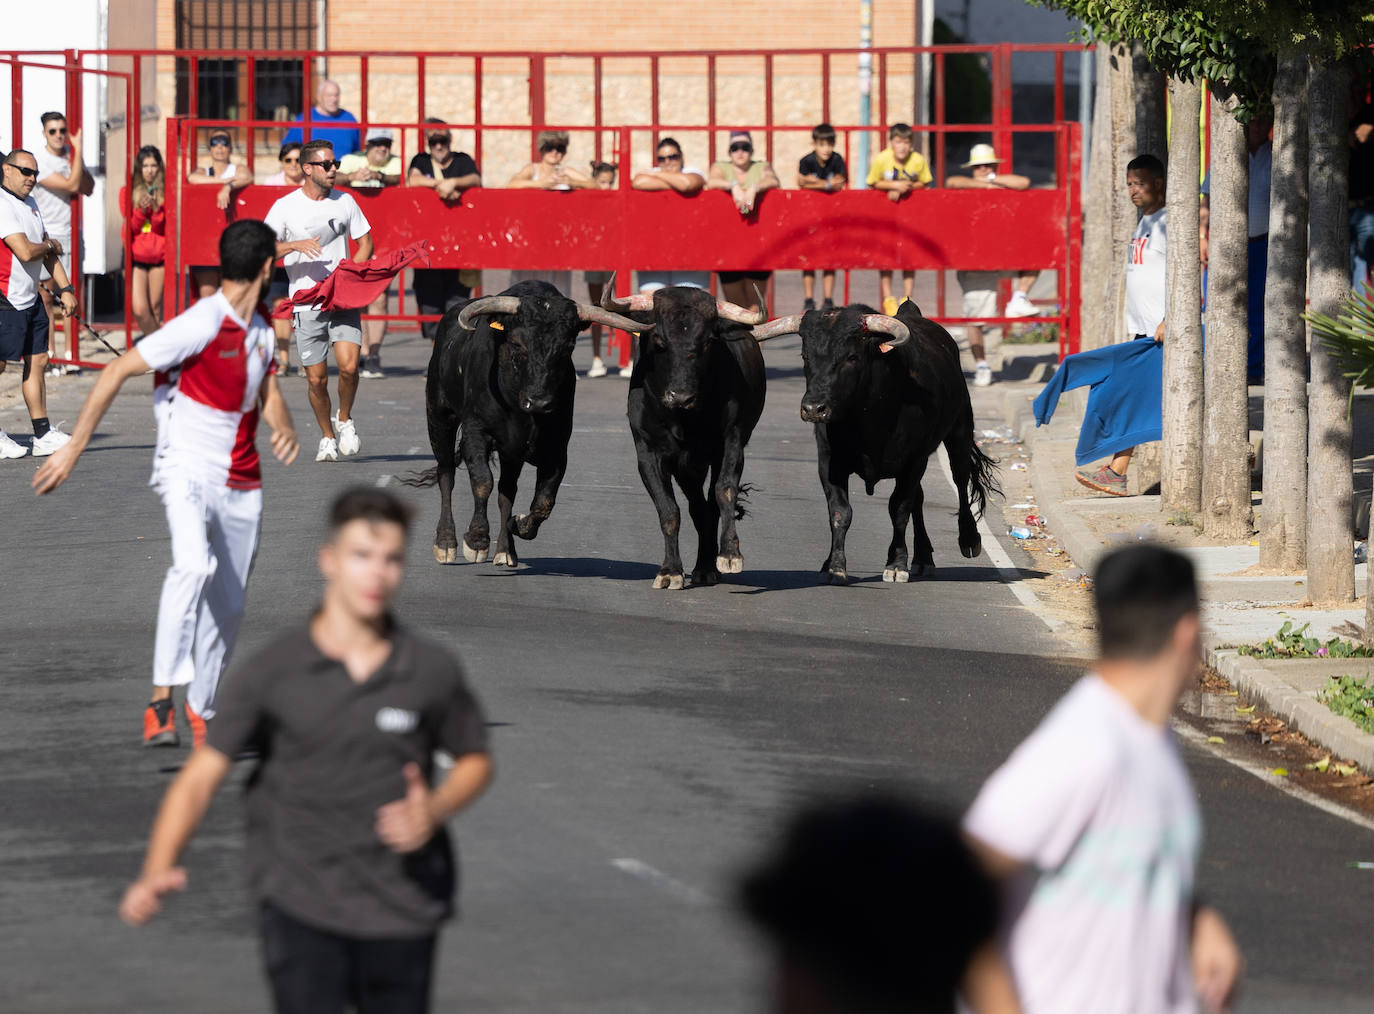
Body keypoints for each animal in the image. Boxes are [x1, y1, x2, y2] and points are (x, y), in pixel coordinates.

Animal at [403, 284, 645, 566]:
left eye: (568, 346)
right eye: (517, 343)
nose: (538, 402)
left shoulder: (556, 449)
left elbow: (543, 502)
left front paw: (518, 525)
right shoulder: (476, 433)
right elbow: (482, 481)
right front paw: (476, 540)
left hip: (510, 454)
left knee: (506, 492)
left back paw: (505, 550)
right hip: (439, 418)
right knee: (446, 475)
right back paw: (445, 543)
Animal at [752, 299, 1000, 579]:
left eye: (851, 357)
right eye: (806, 356)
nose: (814, 408)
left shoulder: (914, 459)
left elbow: (899, 508)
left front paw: (896, 564)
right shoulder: (829, 461)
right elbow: (840, 511)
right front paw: (835, 566)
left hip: (959, 431)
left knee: (959, 479)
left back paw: (968, 539)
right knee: (919, 499)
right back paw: (923, 557)